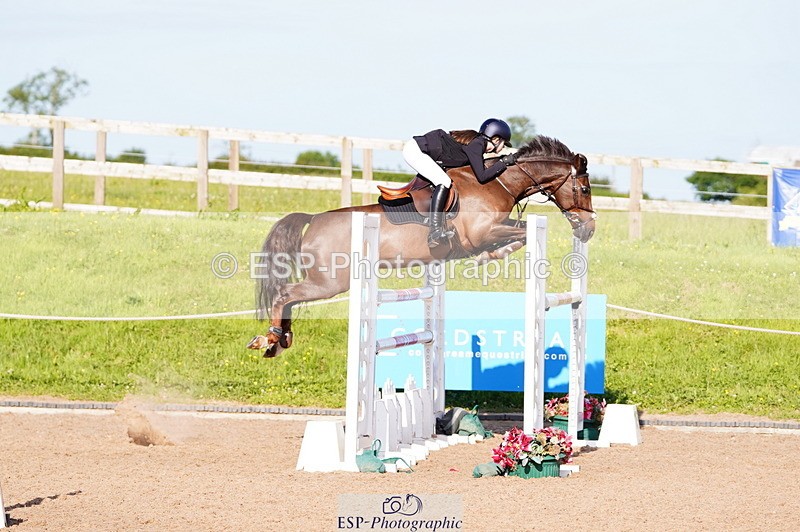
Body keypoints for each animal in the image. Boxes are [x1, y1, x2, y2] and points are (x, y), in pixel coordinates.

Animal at [247, 135, 596, 357]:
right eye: (585, 189)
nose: (589, 229)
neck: (496, 182)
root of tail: (314, 219)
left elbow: (521, 232)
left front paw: (492, 255)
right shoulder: (481, 233)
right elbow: (518, 234)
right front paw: (488, 257)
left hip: (327, 281)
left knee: (289, 298)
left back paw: (280, 340)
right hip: (329, 281)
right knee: (285, 294)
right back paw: (270, 338)